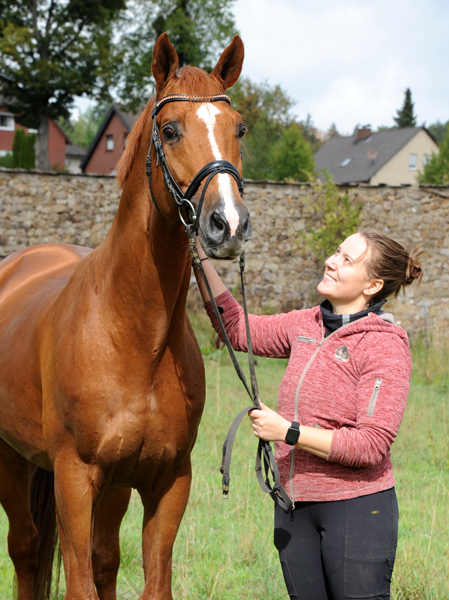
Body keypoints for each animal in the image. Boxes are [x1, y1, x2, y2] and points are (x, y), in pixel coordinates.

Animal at [0, 34, 250, 600]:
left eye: (239, 128)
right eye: (170, 130)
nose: (228, 224)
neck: (135, 337)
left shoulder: (167, 481)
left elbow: (147, 579)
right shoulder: (74, 479)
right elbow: (79, 581)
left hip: (111, 487)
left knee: (104, 558)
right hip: (13, 460)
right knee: (25, 549)